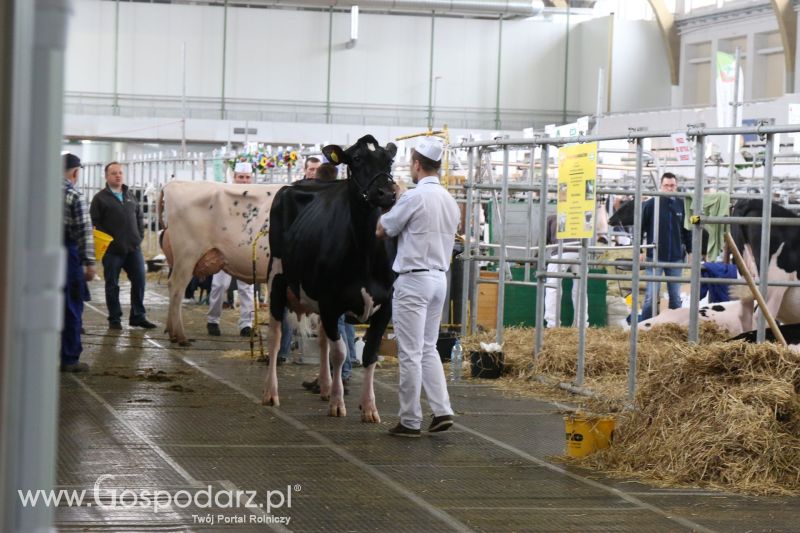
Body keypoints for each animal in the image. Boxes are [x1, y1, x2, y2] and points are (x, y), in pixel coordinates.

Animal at [262, 135, 400, 422]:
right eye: (356, 159)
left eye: (389, 160)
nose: (387, 193)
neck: (365, 252)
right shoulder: (330, 301)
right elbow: (340, 352)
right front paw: (338, 404)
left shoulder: (386, 304)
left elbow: (370, 353)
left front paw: (369, 407)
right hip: (276, 277)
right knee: (276, 336)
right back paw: (271, 393)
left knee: (323, 339)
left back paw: (325, 387)